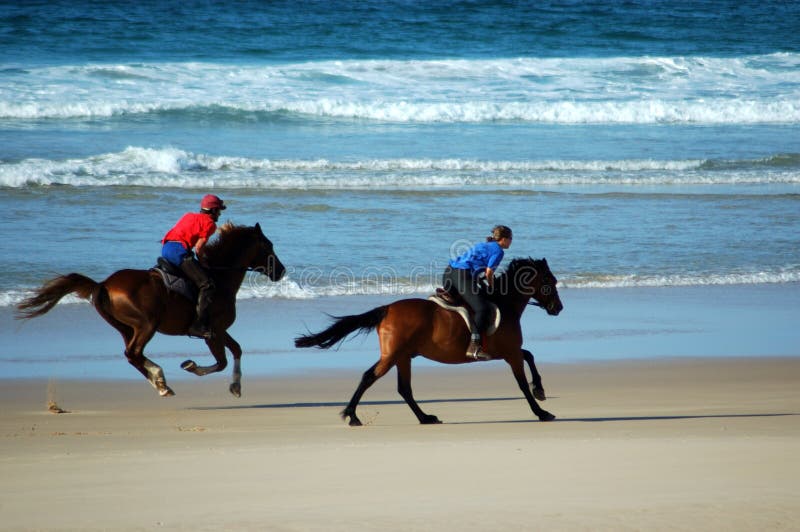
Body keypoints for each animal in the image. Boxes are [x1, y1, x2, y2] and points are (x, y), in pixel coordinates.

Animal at [15, 222, 286, 396]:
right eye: (268, 246)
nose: (281, 271)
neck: (220, 277)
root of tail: (103, 284)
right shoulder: (213, 333)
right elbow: (221, 362)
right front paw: (191, 366)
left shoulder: (220, 330)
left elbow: (237, 350)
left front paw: (236, 386)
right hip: (146, 325)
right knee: (133, 353)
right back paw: (161, 382)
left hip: (127, 327)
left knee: (132, 355)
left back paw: (160, 381)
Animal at [294, 256, 564, 426]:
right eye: (549, 282)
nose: (558, 308)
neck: (504, 302)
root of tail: (387, 309)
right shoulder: (510, 353)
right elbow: (523, 382)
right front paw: (541, 410)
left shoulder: (510, 351)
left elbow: (530, 356)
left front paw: (540, 391)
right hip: (393, 355)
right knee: (369, 377)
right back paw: (352, 416)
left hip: (403, 356)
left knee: (404, 388)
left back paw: (425, 418)